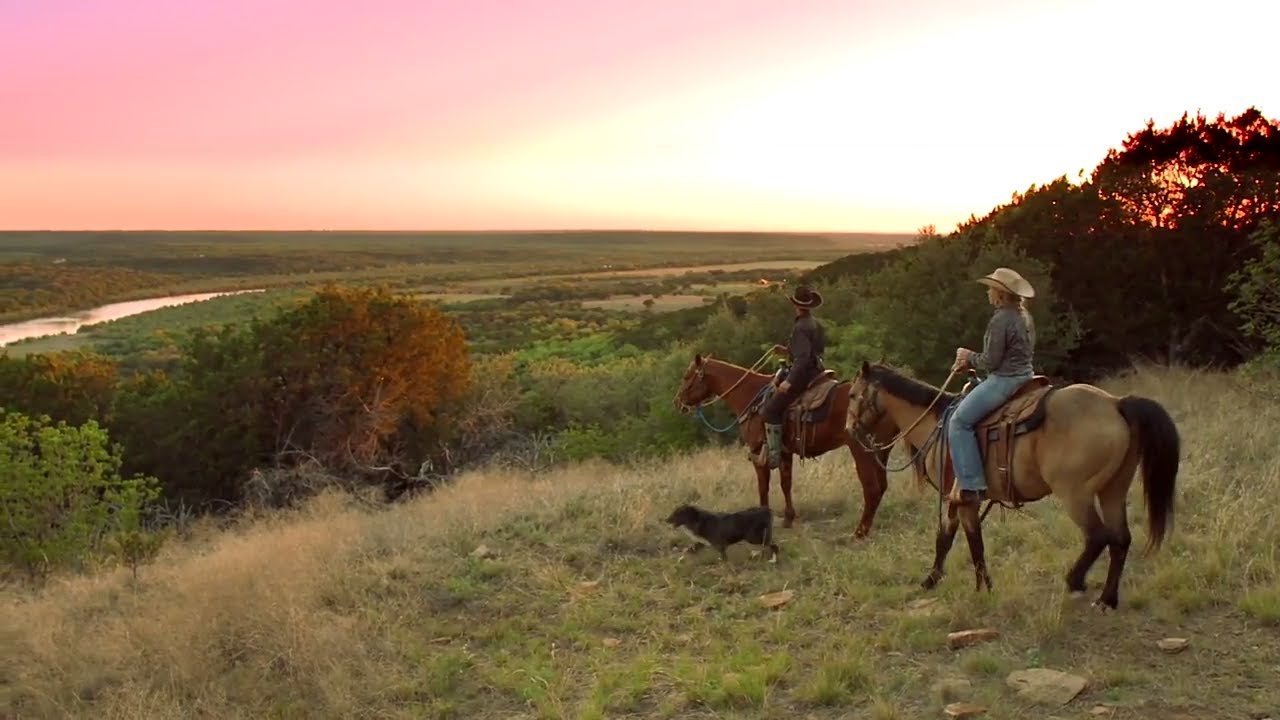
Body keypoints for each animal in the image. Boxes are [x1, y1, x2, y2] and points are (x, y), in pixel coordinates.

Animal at [675, 351, 916, 535]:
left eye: (687, 376)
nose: (677, 402)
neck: (750, 396)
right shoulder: (784, 453)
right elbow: (786, 483)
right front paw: (788, 518)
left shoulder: (758, 453)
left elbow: (763, 487)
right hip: (881, 451)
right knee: (881, 486)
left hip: (862, 451)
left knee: (872, 488)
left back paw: (860, 532)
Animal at [844, 358, 1172, 604]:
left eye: (852, 395)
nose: (849, 430)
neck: (936, 424)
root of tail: (1115, 403)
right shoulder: (957, 499)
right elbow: (947, 539)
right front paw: (933, 580)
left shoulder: (962, 498)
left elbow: (973, 542)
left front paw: (982, 587)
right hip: (1113, 490)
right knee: (1121, 539)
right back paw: (1106, 599)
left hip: (1075, 494)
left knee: (1098, 536)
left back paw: (1075, 581)